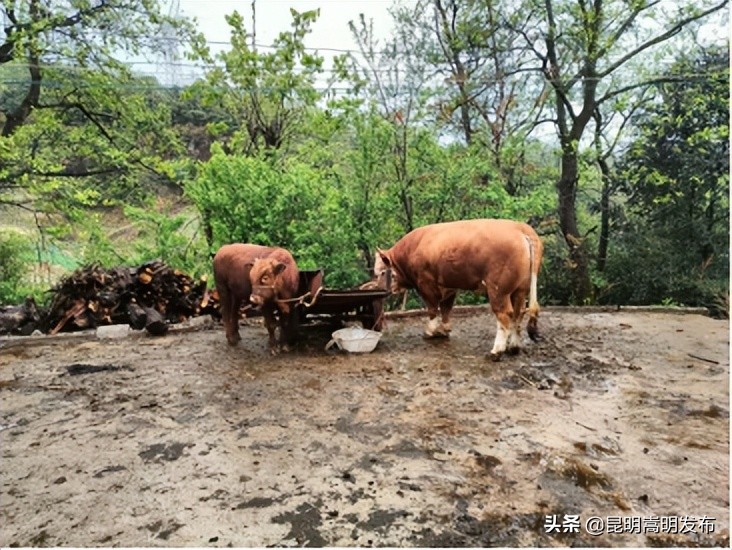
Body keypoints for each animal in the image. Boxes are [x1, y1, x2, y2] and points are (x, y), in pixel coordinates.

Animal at [374, 220, 540, 362]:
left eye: (381, 272)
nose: (377, 288)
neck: (414, 247)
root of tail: (520, 228)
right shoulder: (449, 286)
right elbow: (446, 308)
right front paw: (444, 330)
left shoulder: (425, 284)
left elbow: (432, 309)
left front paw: (430, 331)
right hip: (520, 290)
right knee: (519, 313)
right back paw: (514, 347)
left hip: (498, 290)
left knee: (505, 316)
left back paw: (496, 351)